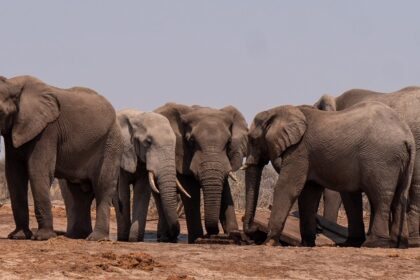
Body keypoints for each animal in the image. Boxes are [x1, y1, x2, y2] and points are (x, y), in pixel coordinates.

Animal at [1, 75, 123, 241]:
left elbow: (39, 171)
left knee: (102, 186)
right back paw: (77, 236)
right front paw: (18, 236)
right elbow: (14, 175)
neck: (12, 84)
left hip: (111, 143)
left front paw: (42, 237)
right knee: (79, 194)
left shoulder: (47, 130)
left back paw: (96, 238)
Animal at [115, 109, 189, 243]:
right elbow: (122, 191)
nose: (172, 237)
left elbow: (142, 191)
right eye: (148, 142)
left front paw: (134, 239)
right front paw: (124, 239)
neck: (138, 117)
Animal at [155, 103, 248, 243]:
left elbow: (225, 190)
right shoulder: (182, 155)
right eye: (191, 141)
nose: (212, 233)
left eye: (228, 142)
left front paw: (234, 235)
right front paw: (196, 238)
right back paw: (164, 238)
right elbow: (191, 190)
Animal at [243, 102, 414, 247]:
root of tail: (407, 136)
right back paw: (397, 244)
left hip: (382, 159)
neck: (279, 110)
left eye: (252, 139)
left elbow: (288, 188)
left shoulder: (299, 151)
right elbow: (309, 194)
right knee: (399, 197)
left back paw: (373, 244)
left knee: (380, 197)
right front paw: (307, 244)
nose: (252, 230)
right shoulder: (308, 156)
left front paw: (269, 243)